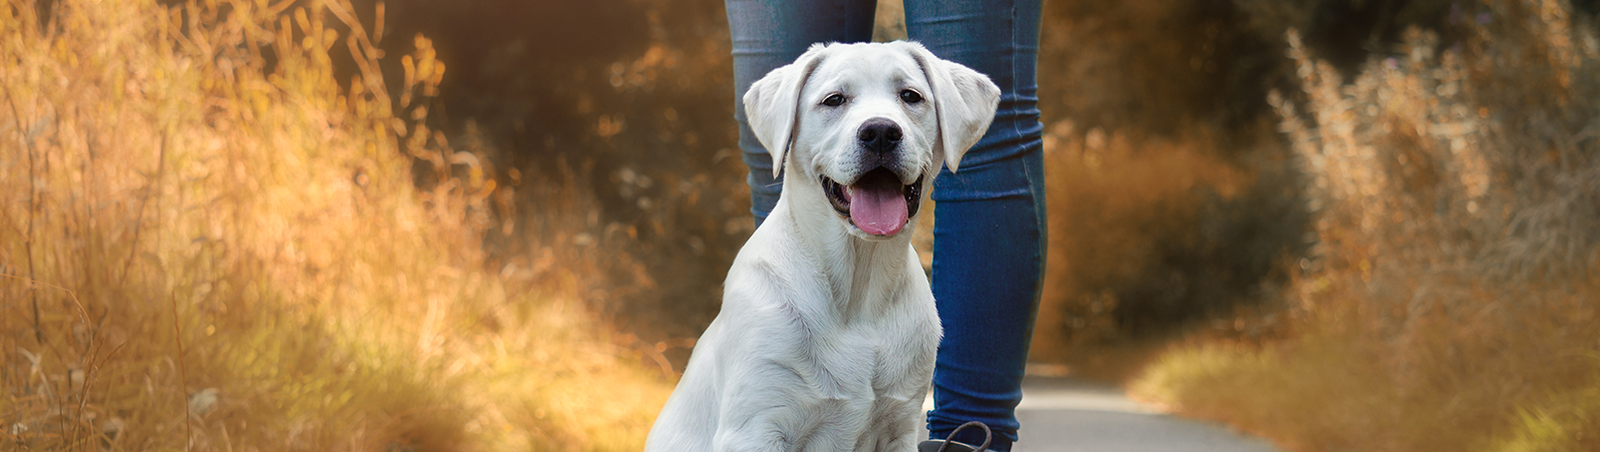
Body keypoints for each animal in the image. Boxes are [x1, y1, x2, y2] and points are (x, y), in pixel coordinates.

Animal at [640, 40, 992, 448]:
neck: (858, 294)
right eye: (834, 99)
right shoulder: (756, 425)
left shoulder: (900, 425)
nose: (881, 132)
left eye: (910, 96)